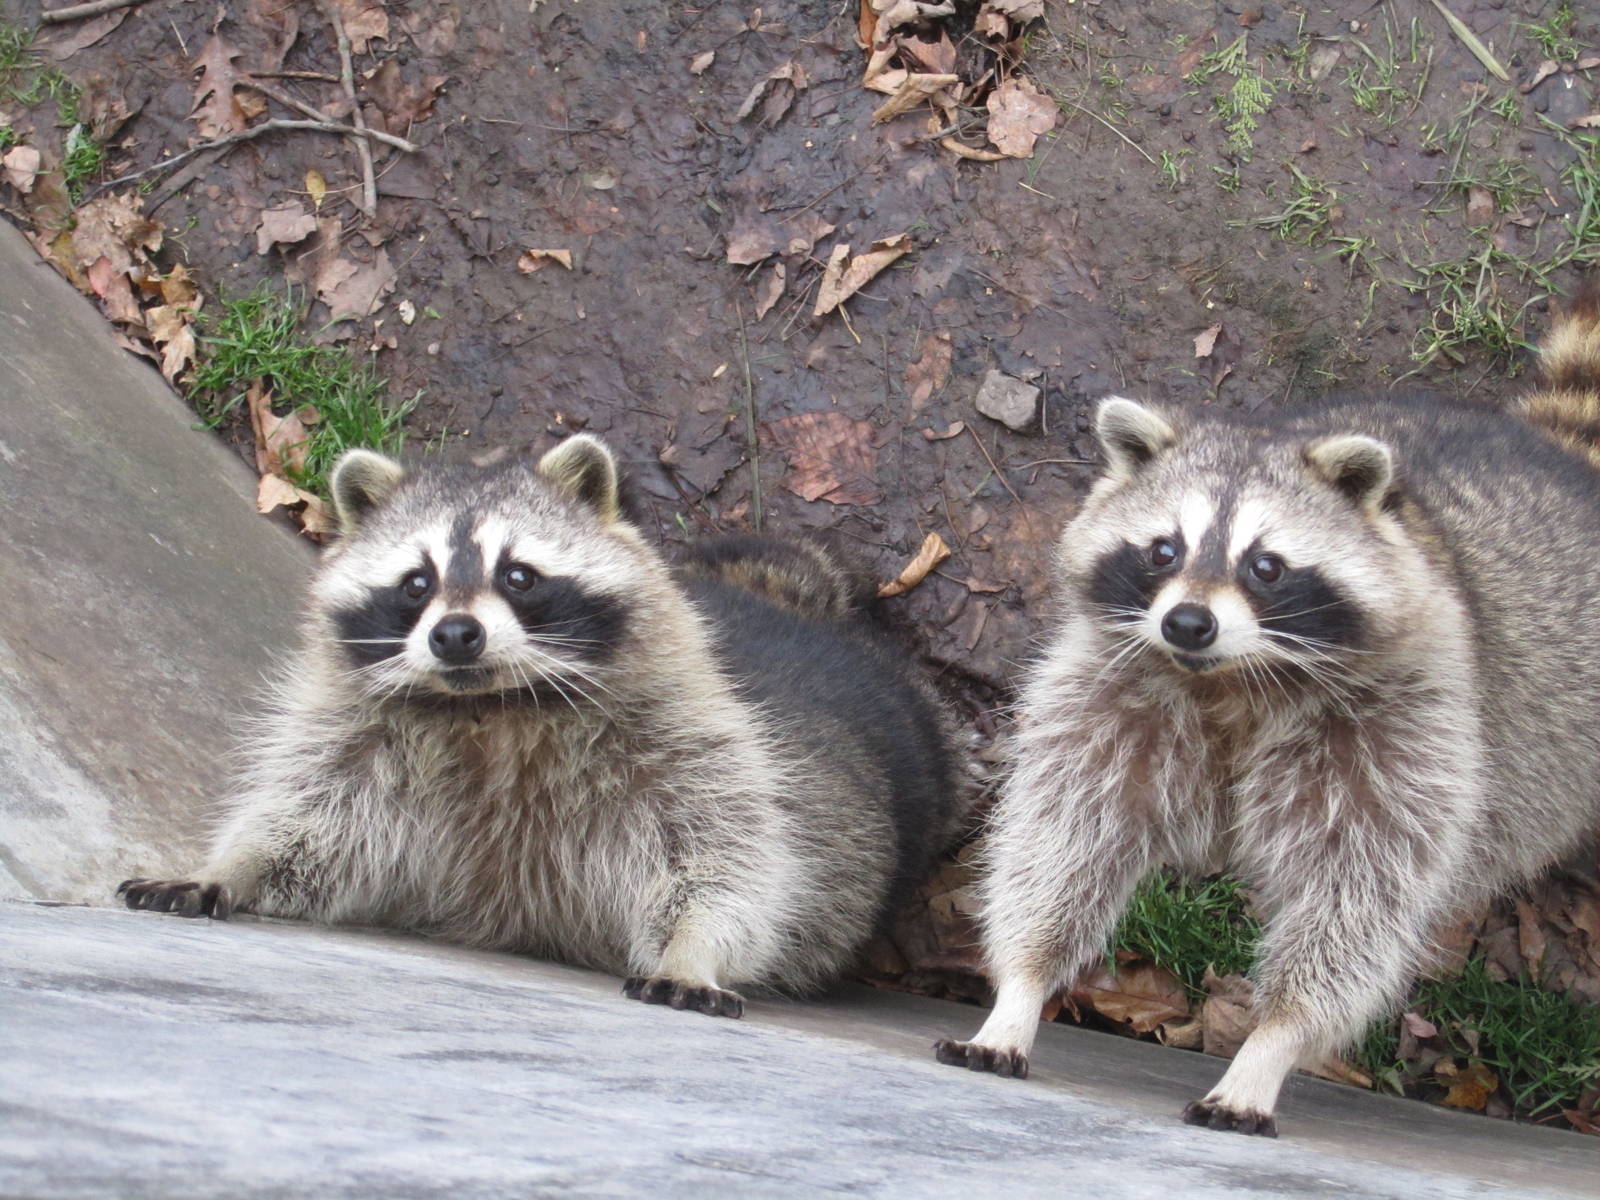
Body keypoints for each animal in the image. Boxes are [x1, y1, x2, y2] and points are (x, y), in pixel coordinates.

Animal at [120, 435, 959, 1015]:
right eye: (416, 583)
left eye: (518, 576)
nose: (456, 635)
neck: (492, 710)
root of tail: (788, 609)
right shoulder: (358, 735)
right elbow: (309, 824)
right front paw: (230, 865)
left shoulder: (691, 738)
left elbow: (725, 862)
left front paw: (695, 948)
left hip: (920, 743)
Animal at [934, 293, 1600, 1135]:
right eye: (1163, 549)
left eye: (1266, 566)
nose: (1188, 623)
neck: (1230, 681)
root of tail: (1550, 455)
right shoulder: (1109, 690)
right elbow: (1065, 839)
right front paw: (1020, 989)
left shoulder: (1403, 725)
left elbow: (1354, 900)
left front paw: (1272, 1044)